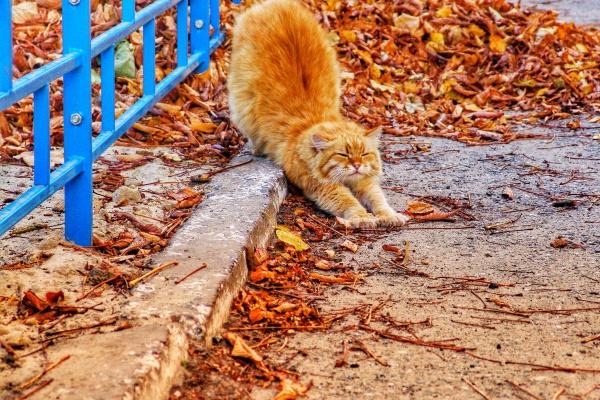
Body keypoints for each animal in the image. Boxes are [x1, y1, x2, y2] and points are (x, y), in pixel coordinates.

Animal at [227, 0, 410, 228]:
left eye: (364, 154)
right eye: (343, 155)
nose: (357, 165)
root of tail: (275, 4)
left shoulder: (365, 182)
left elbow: (379, 200)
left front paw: (389, 215)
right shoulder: (326, 187)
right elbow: (349, 201)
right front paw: (362, 218)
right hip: (242, 104)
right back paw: (258, 149)